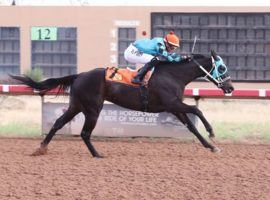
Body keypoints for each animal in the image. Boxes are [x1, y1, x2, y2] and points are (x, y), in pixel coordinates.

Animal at [11, 50, 234, 158]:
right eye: (222, 67)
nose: (230, 87)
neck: (173, 75)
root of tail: (79, 75)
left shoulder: (174, 107)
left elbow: (192, 127)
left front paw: (212, 147)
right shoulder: (172, 103)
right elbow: (197, 109)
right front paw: (212, 133)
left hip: (77, 106)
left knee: (58, 123)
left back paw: (41, 148)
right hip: (93, 109)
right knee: (84, 133)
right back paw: (97, 154)